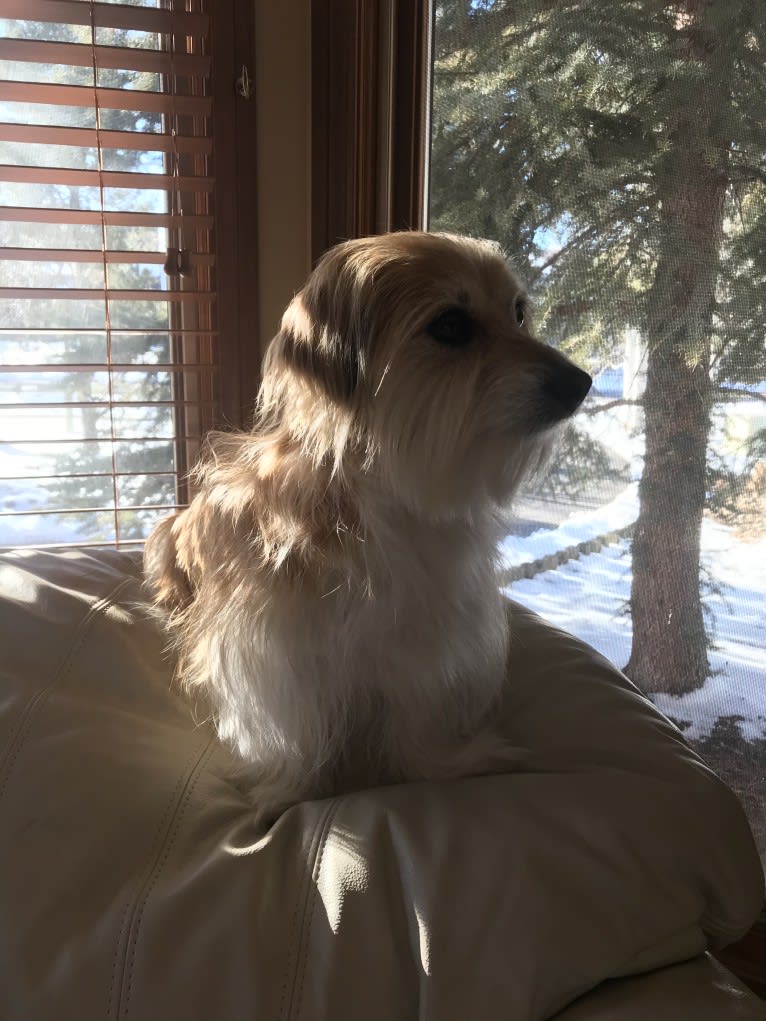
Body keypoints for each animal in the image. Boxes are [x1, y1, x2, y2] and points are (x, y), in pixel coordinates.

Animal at [144, 233, 592, 820]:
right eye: (451, 325)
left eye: (519, 313)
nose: (582, 383)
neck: (389, 500)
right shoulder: (273, 646)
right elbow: (293, 726)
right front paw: (289, 790)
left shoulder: (430, 637)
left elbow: (419, 714)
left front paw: (444, 763)